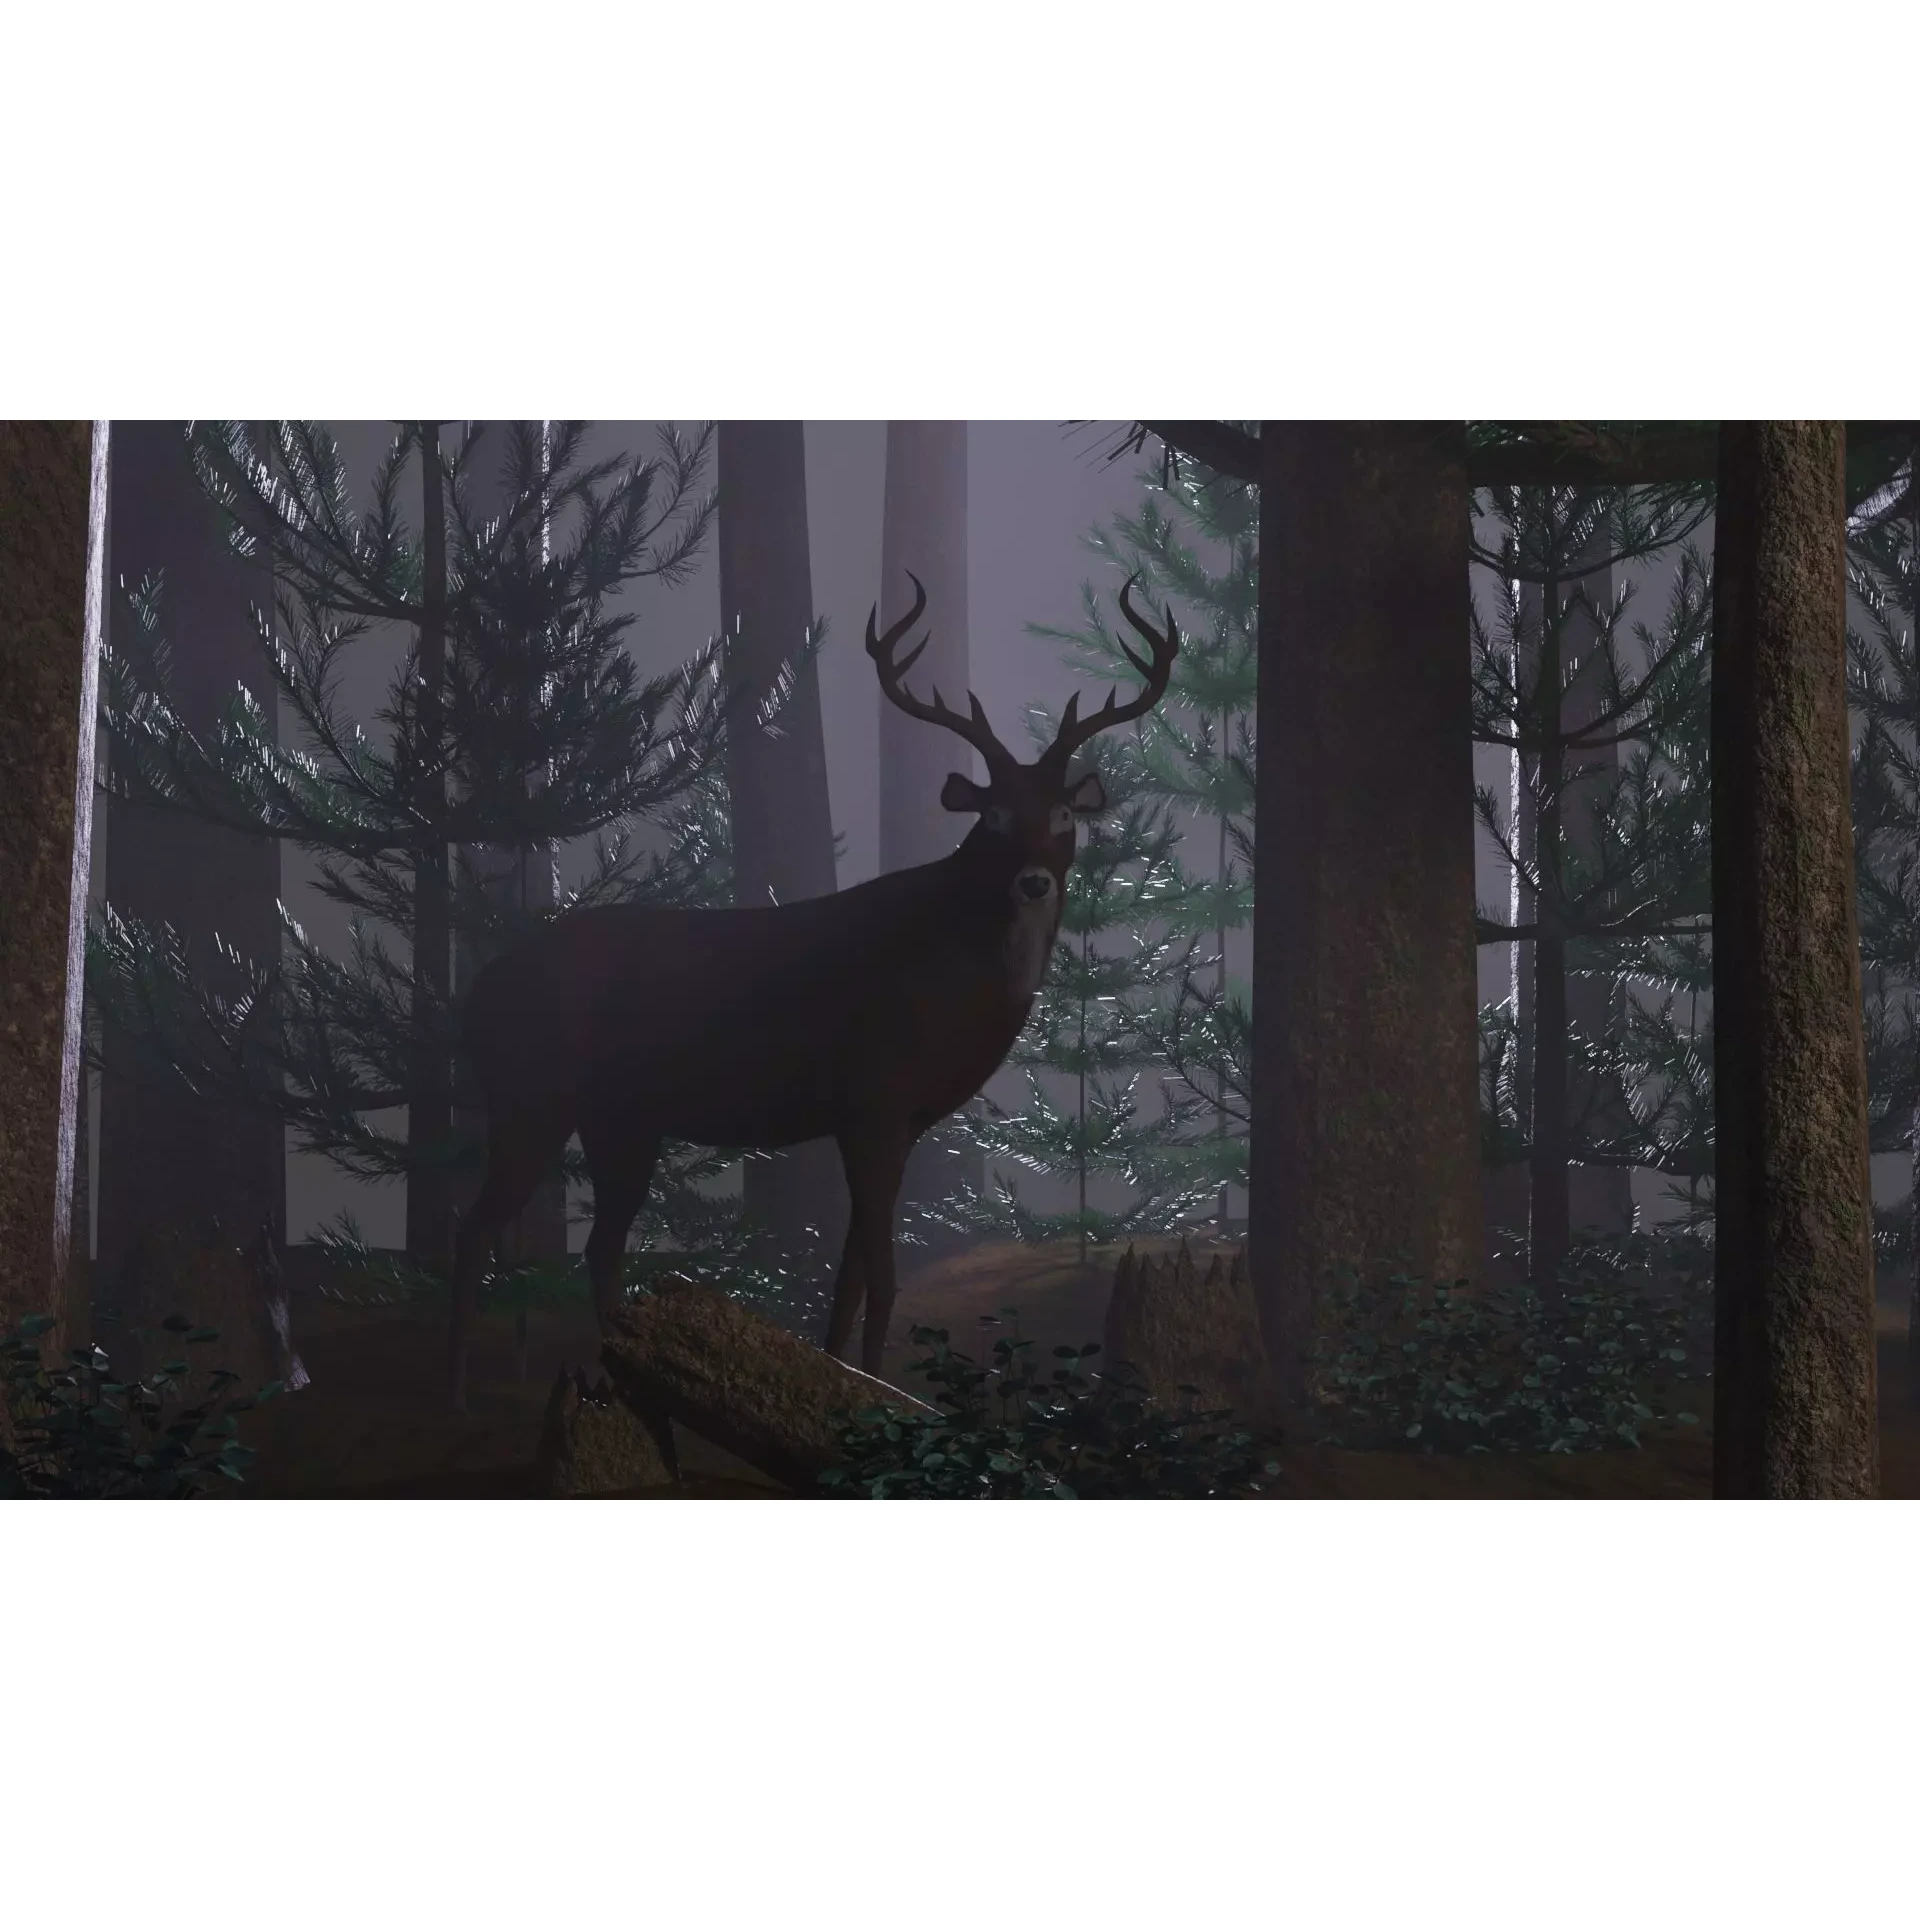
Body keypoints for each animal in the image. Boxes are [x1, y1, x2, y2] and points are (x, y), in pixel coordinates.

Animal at [446, 571, 1179, 1410]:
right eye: (994, 814)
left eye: (1061, 813)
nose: (1033, 881)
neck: (950, 988)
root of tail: (479, 993)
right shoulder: (874, 1096)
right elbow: (882, 1276)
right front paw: (882, 1388)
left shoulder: (893, 1119)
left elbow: (851, 1274)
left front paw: (841, 1376)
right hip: (531, 1093)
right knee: (475, 1229)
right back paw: (455, 1386)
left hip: (620, 1117)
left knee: (600, 1244)